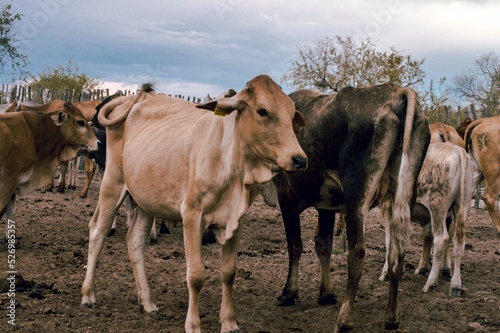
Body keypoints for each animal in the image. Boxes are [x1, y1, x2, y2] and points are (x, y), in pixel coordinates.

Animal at [81, 75, 308, 332]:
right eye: (262, 111)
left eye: (291, 114)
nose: (299, 159)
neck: (230, 161)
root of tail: (130, 100)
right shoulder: (192, 215)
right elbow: (196, 275)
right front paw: (193, 325)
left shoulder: (236, 220)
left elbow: (228, 272)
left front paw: (229, 322)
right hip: (113, 182)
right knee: (97, 231)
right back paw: (88, 295)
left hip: (147, 200)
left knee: (135, 242)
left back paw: (147, 302)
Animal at [272, 82, 428, 330]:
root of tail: (399, 93)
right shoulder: (325, 205)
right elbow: (323, 246)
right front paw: (326, 293)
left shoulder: (285, 194)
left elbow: (295, 245)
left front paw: (289, 292)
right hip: (403, 193)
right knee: (397, 252)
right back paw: (391, 317)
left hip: (357, 196)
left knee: (357, 252)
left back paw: (344, 320)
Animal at [380, 141, 474, 294]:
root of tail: (457, 150)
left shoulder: (387, 207)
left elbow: (390, 241)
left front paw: (386, 273)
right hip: (462, 206)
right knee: (459, 243)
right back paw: (455, 285)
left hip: (437, 207)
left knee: (442, 239)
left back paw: (430, 283)